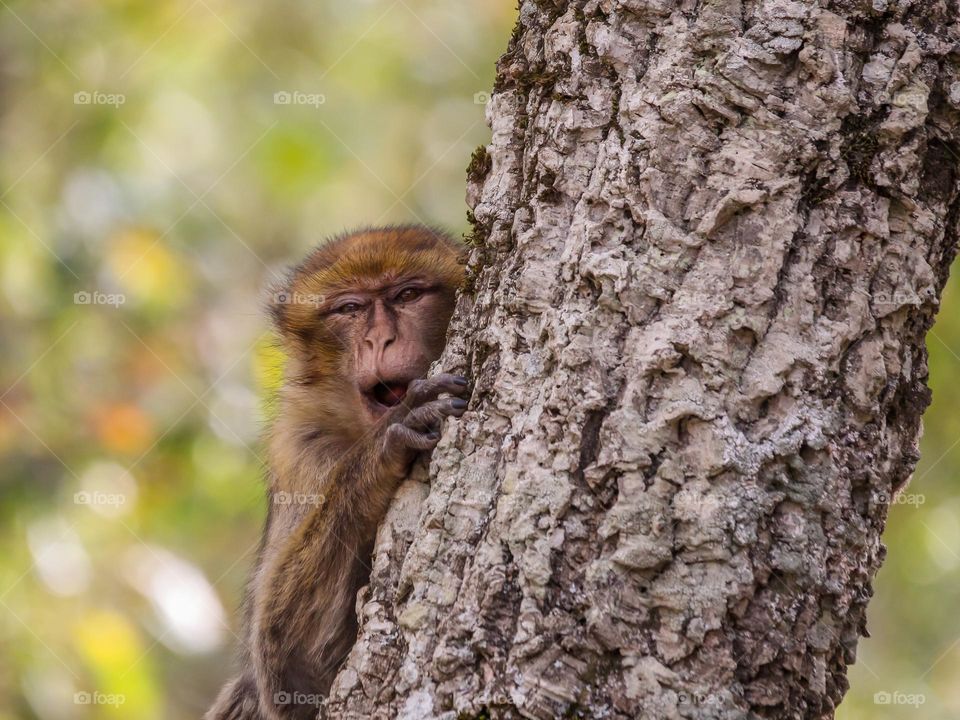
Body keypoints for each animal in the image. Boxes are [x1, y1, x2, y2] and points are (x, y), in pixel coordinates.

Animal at [207, 225, 468, 720]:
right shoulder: (302, 450)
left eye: (407, 295)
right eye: (350, 309)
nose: (379, 340)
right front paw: (387, 440)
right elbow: (289, 672)